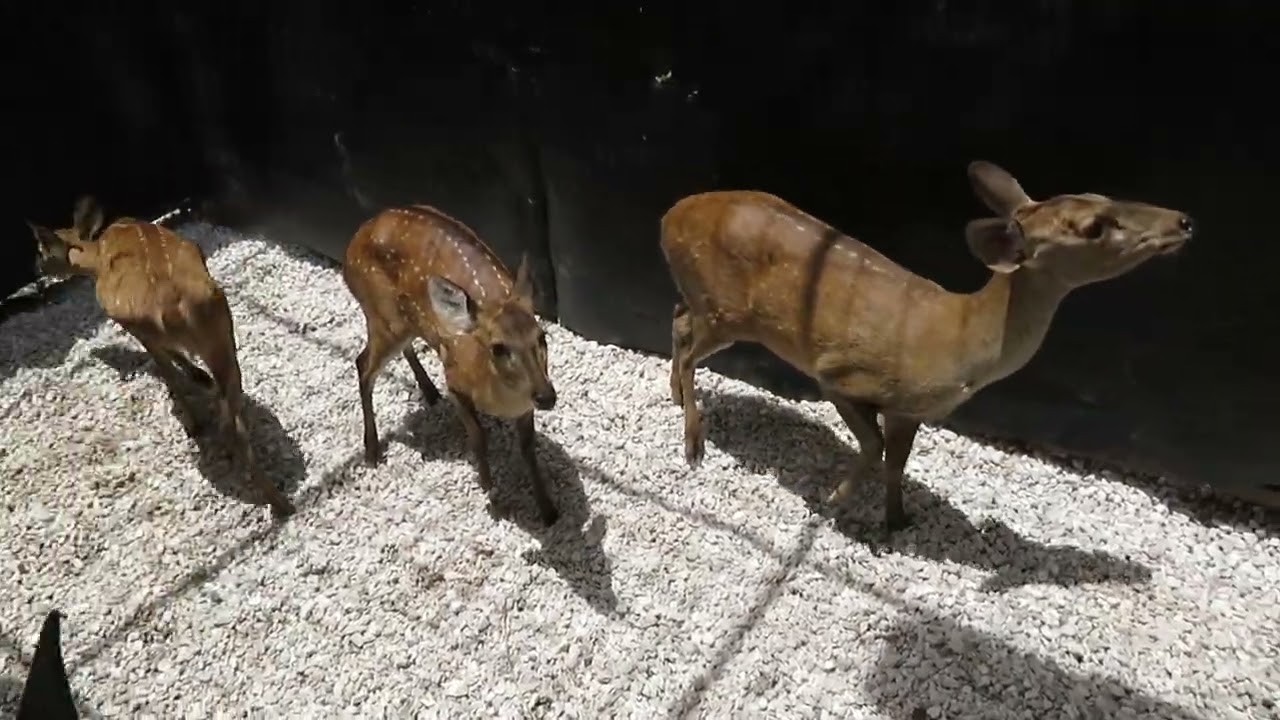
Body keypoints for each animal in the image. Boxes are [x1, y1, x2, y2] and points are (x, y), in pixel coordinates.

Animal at [27, 197, 296, 518]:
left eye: (41, 251)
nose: (37, 271)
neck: (96, 256)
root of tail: (177, 308)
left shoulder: (134, 327)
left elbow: (170, 366)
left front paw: (196, 388)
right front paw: (201, 379)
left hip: (153, 326)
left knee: (183, 386)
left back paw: (196, 427)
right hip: (223, 336)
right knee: (235, 417)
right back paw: (281, 503)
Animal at [341, 204, 561, 526]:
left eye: (542, 336)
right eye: (498, 347)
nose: (546, 396)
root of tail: (354, 241)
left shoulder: (524, 407)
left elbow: (528, 448)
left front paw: (548, 510)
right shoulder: (455, 383)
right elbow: (478, 437)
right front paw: (489, 490)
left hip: (403, 321)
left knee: (397, 349)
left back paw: (429, 392)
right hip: (382, 316)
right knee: (362, 364)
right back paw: (371, 450)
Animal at [659, 160, 1194, 533]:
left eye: (1098, 193)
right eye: (1094, 227)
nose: (1184, 221)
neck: (959, 342)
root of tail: (668, 216)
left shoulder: (909, 409)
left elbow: (898, 462)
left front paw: (897, 522)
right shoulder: (840, 373)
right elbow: (874, 448)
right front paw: (834, 504)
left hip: (709, 303)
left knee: (678, 318)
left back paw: (677, 400)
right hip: (725, 308)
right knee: (688, 342)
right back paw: (693, 443)